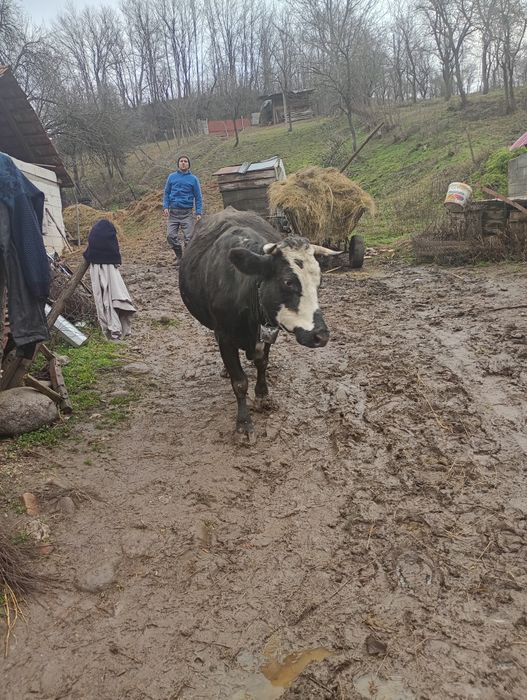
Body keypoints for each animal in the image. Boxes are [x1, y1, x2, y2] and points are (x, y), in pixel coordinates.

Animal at [179, 207, 338, 439]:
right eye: (288, 281)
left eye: (319, 282)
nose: (321, 335)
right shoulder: (224, 336)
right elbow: (239, 382)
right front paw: (244, 423)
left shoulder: (269, 331)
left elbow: (262, 363)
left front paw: (263, 396)